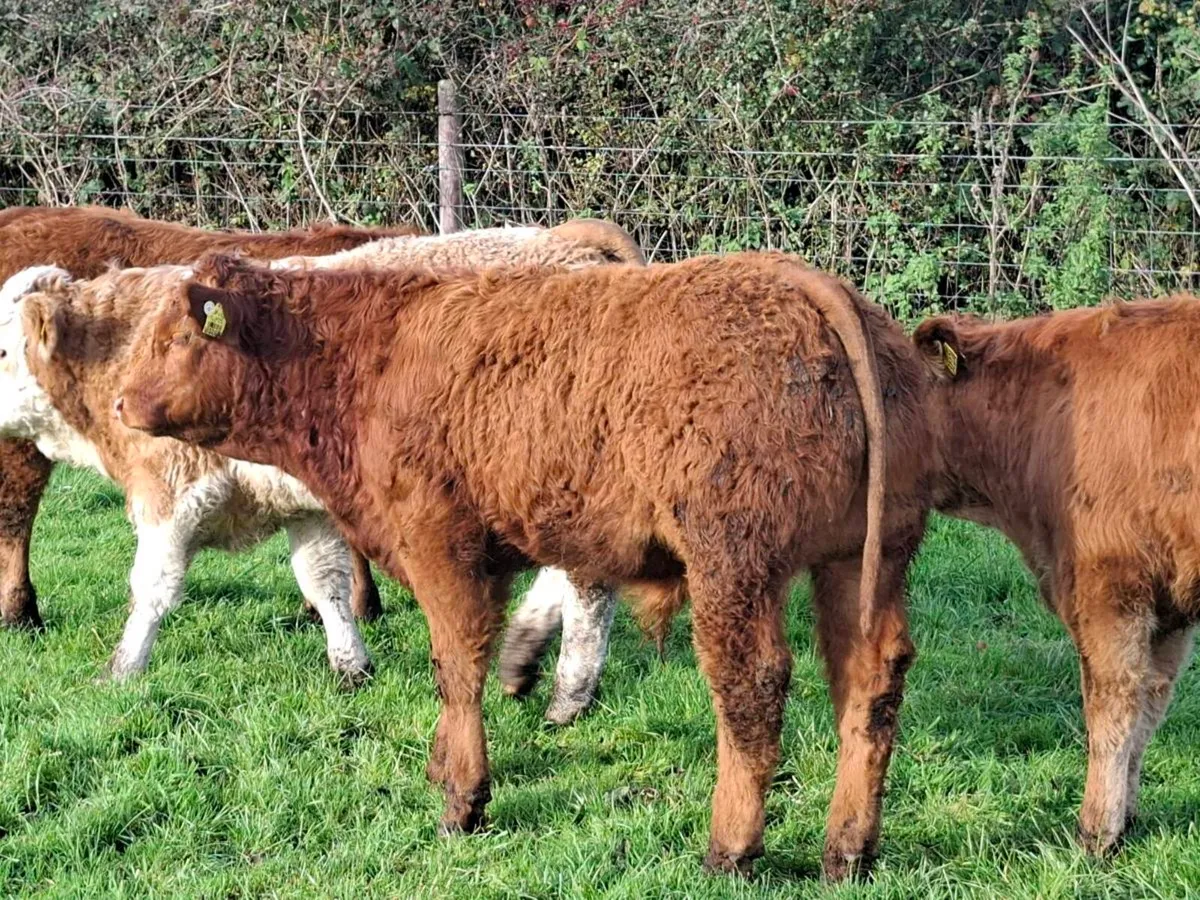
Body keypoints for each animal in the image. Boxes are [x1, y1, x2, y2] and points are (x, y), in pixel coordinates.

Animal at [111, 250, 933, 879]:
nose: (119, 403)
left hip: (734, 566)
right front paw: (445, 764)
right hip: (860, 562)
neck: (369, 357)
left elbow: (456, 663)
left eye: (176, 337)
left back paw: (730, 849)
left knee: (751, 687)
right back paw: (848, 852)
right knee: (869, 683)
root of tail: (800, 283)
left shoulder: (441, 544)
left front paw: (462, 799)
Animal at [913, 297, 1200, 856]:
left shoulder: (1108, 587)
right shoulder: (1168, 606)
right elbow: (1149, 707)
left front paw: (1096, 833)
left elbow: (1111, 710)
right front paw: (1126, 819)